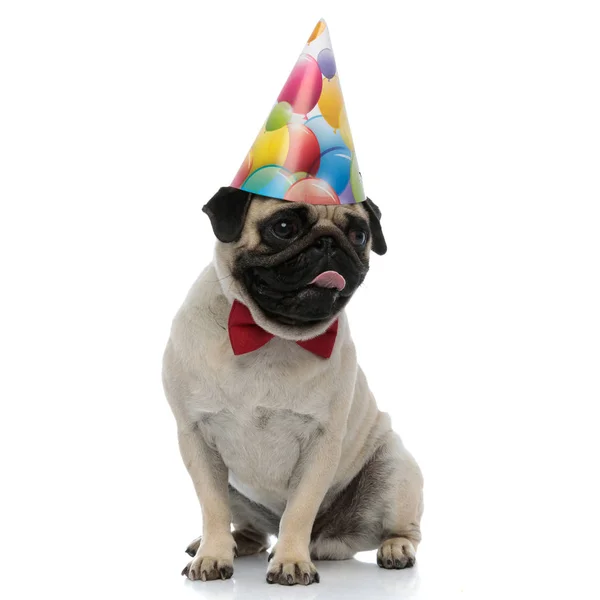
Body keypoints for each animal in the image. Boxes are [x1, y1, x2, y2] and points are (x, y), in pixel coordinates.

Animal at [162, 188, 424, 584]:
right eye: (284, 227)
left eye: (359, 235)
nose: (329, 242)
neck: (269, 334)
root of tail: (327, 539)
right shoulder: (195, 438)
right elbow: (212, 507)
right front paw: (213, 555)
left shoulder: (321, 444)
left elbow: (299, 510)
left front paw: (290, 561)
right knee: (252, 530)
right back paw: (233, 542)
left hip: (395, 470)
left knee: (404, 529)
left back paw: (396, 548)